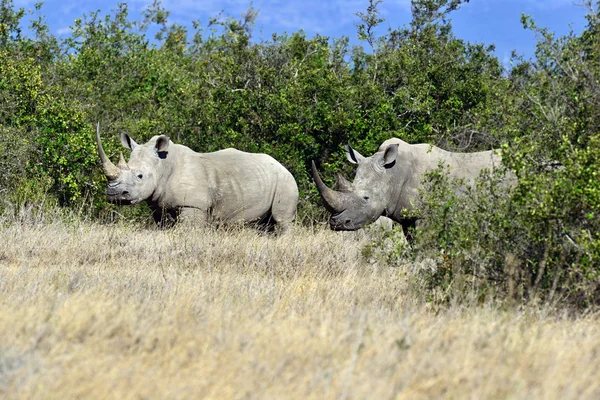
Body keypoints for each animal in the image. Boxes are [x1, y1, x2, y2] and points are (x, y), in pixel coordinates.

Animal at [96, 123, 300, 233]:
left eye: (140, 176)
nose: (115, 194)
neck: (163, 165)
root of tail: (282, 165)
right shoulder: (159, 206)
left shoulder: (193, 205)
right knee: (264, 225)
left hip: (286, 181)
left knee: (282, 220)